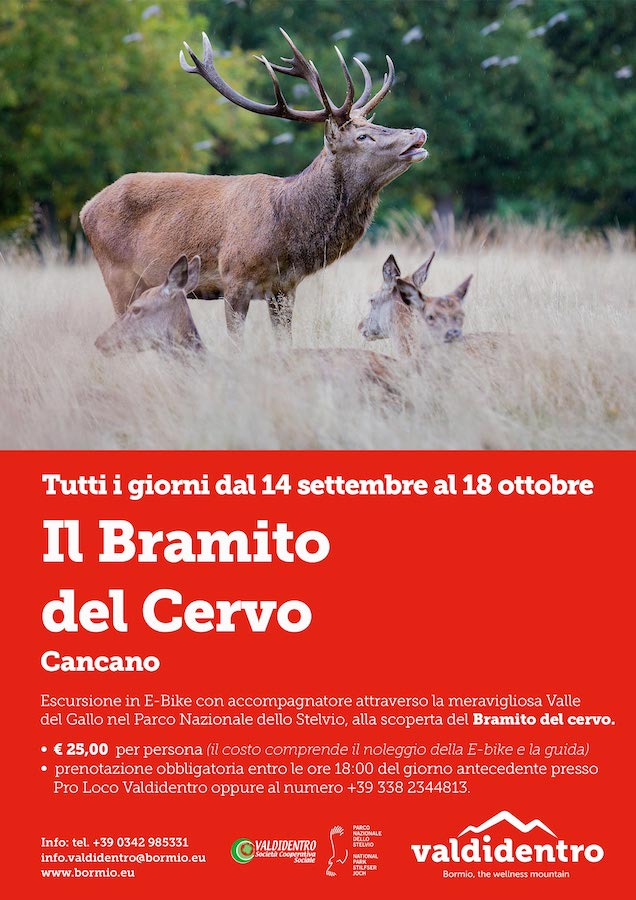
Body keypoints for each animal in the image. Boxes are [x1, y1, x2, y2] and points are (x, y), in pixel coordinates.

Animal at [80, 29, 428, 344]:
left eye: (372, 124)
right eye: (362, 136)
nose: (418, 133)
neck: (287, 231)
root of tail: (86, 209)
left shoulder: (284, 288)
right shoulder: (234, 279)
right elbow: (237, 344)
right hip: (119, 277)